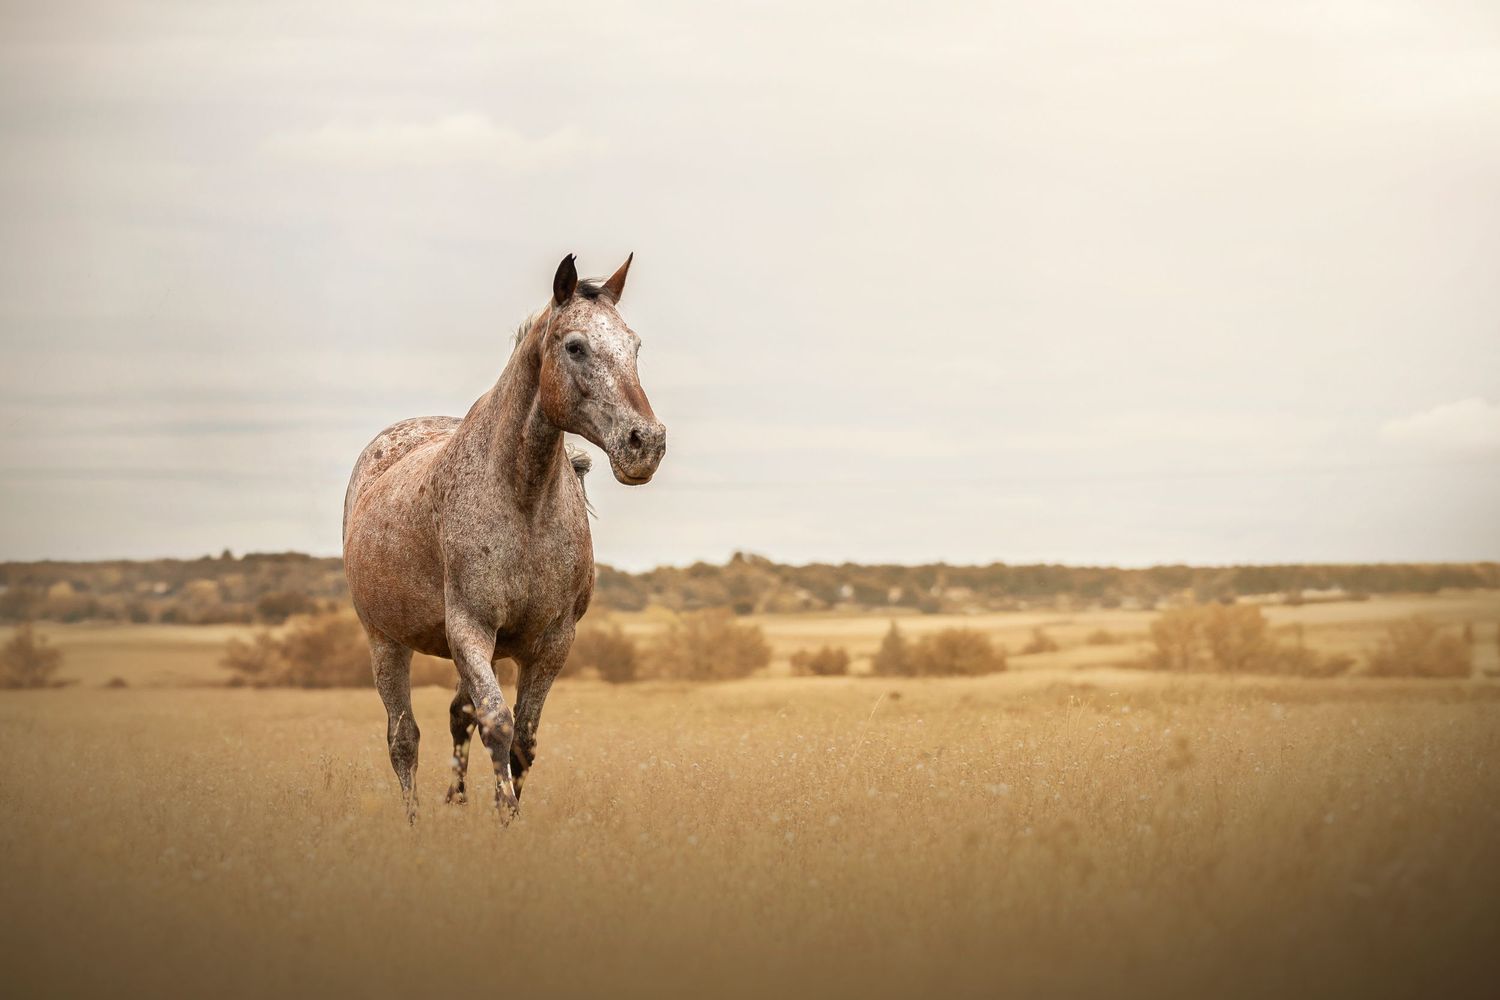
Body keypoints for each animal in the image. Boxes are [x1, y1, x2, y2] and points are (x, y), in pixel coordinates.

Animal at [342, 253, 666, 821]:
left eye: (635, 345)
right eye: (574, 345)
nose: (645, 443)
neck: (523, 502)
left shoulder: (551, 642)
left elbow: (524, 740)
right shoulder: (470, 629)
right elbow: (498, 725)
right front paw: (506, 816)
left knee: (456, 716)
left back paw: (454, 801)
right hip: (385, 641)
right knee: (403, 738)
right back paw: (414, 821)